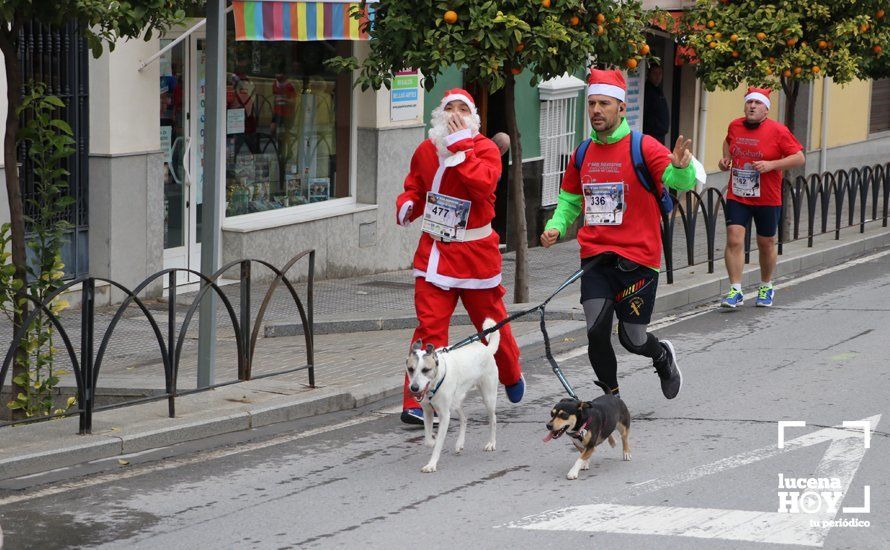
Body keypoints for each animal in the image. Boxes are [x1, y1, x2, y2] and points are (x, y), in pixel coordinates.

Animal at [404, 320, 500, 474]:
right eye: (411, 369)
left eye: (426, 370)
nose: (414, 388)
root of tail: (486, 349)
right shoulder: (428, 412)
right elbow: (428, 441)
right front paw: (433, 440)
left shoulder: (444, 415)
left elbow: (438, 445)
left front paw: (431, 464)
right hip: (455, 402)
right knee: (464, 418)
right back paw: (460, 443)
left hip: (488, 397)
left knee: (493, 419)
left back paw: (491, 443)